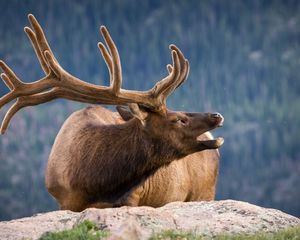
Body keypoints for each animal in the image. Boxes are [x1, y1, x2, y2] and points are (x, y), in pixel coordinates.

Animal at [0, 14, 224, 211]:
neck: (94, 183)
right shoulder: (63, 201)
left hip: (205, 192)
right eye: (179, 119)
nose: (216, 115)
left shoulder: (134, 196)